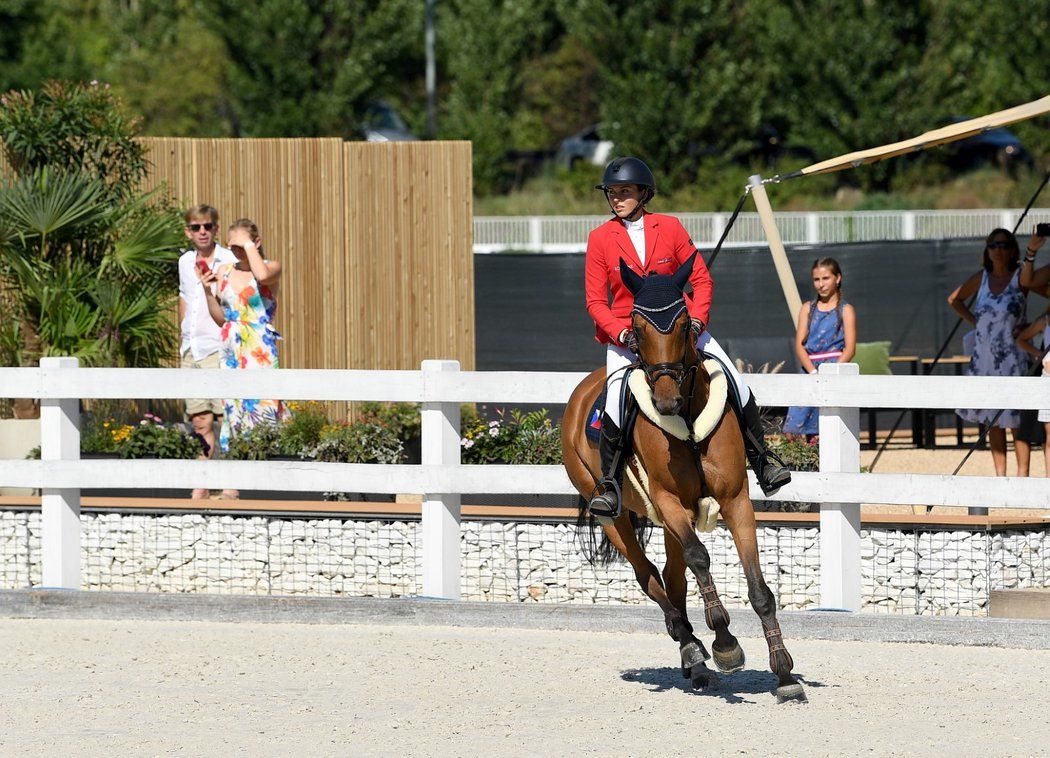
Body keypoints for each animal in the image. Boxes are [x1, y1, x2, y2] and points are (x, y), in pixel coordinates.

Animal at [567, 255, 802, 701]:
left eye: (682, 323)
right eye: (637, 327)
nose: (665, 402)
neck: (689, 416)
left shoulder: (736, 500)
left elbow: (759, 590)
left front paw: (784, 674)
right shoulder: (668, 500)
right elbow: (701, 558)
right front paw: (726, 645)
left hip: (670, 521)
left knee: (674, 578)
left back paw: (695, 662)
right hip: (615, 518)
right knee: (649, 575)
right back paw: (691, 645)